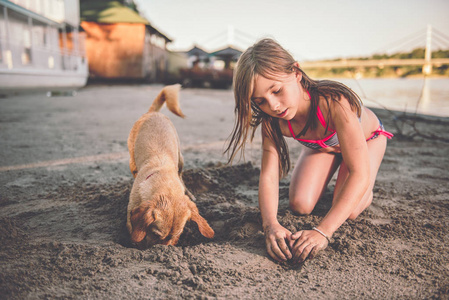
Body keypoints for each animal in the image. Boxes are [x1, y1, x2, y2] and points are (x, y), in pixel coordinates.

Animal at [127, 85, 214, 248]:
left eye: (175, 236)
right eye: (155, 234)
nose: (161, 249)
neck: (164, 177)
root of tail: (152, 113)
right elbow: (133, 230)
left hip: (181, 158)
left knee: (181, 175)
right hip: (132, 160)